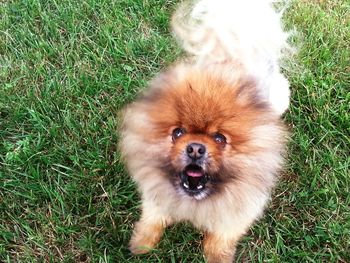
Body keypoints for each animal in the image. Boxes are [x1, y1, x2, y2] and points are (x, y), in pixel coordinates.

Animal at [120, 0, 290, 262]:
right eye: (177, 133)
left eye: (220, 138)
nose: (196, 149)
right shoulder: (156, 196)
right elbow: (152, 220)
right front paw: (141, 245)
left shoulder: (237, 212)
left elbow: (220, 239)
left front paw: (217, 257)